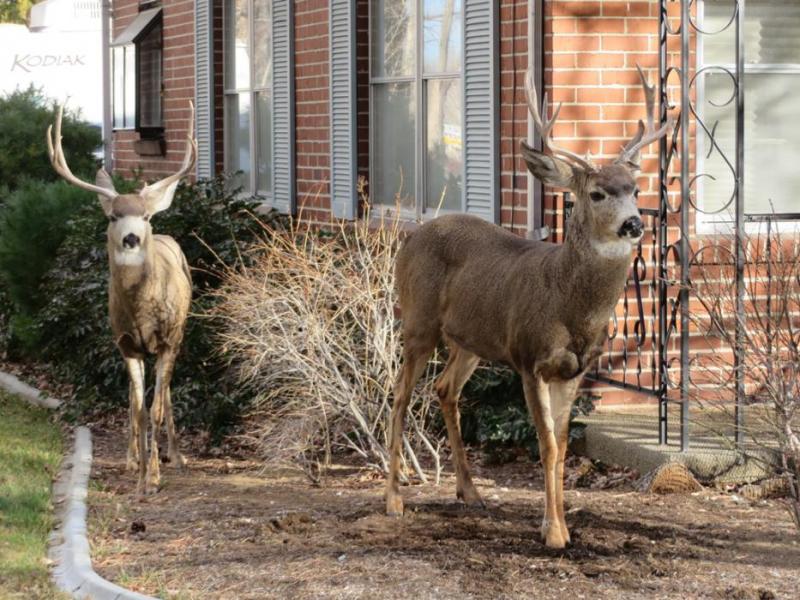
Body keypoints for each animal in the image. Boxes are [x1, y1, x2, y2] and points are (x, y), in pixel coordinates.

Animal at [47, 103, 197, 495]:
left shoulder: (166, 339)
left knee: (167, 392)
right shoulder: (126, 342)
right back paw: (132, 458)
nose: (131, 238)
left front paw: (156, 475)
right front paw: (142, 478)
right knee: (133, 398)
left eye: (144, 215)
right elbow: (140, 409)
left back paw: (176, 456)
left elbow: (155, 407)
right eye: (114, 216)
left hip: (178, 335)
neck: (141, 310)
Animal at [385, 66, 672, 548]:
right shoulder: (529, 358)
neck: (569, 305)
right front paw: (555, 532)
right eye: (596, 193)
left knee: (445, 388)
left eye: (635, 189)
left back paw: (470, 492)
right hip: (418, 323)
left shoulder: (574, 370)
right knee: (401, 393)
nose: (634, 223)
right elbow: (548, 445)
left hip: (471, 340)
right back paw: (393, 499)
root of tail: (411, 239)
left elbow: (562, 445)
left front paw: (557, 524)